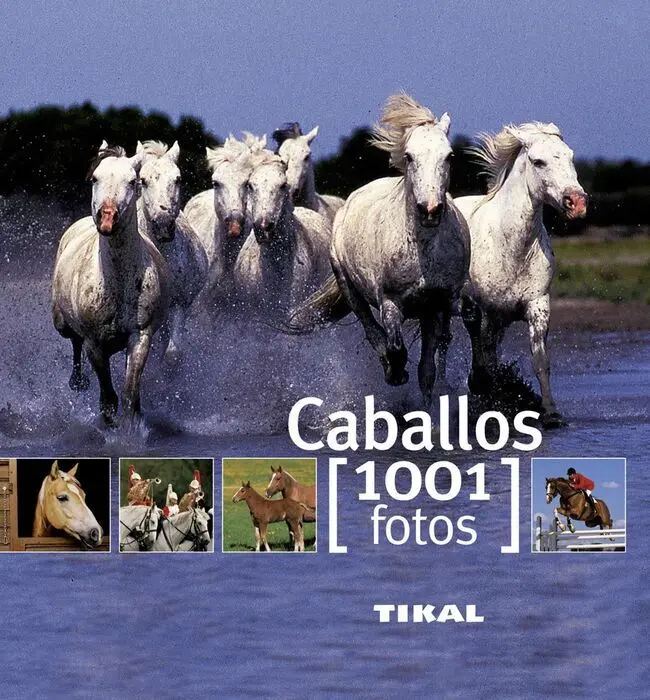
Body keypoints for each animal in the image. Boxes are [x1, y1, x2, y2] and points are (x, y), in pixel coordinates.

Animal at [51, 143, 170, 427]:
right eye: (95, 178)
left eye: (132, 181)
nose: (107, 219)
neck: (117, 282)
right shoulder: (95, 343)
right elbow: (107, 397)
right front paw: (110, 425)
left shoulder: (140, 336)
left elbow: (129, 394)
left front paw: (131, 429)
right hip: (61, 323)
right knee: (74, 341)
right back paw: (78, 382)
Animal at [287, 93, 470, 407]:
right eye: (409, 156)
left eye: (449, 156)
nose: (430, 210)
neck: (423, 252)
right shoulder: (390, 302)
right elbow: (395, 346)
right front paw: (395, 373)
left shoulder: (435, 306)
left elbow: (427, 371)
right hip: (349, 288)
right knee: (371, 329)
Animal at [448, 123, 588, 427]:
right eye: (538, 162)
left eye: (570, 156)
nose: (577, 202)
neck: (510, 247)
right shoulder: (477, 305)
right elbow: (479, 347)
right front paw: (480, 388)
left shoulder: (537, 305)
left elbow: (540, 361)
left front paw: (550, 413)